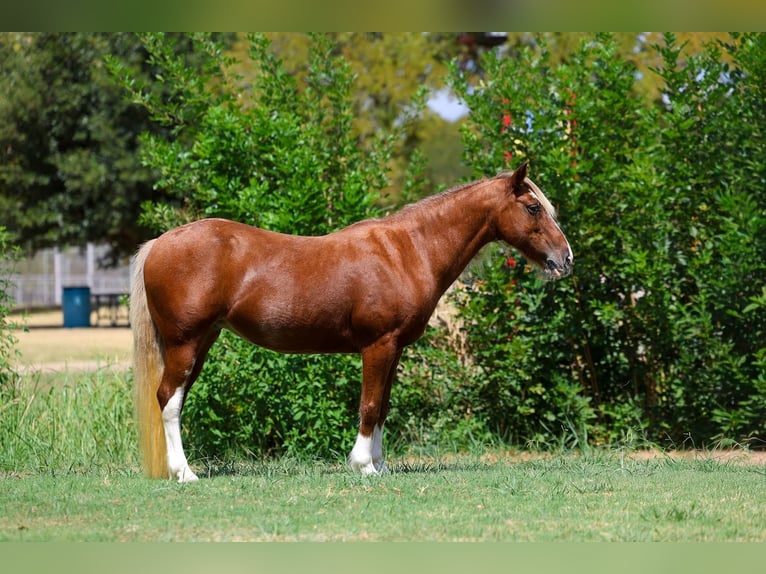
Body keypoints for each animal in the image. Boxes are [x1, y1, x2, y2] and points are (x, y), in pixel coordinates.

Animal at [130, 162, 573, 482]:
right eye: (533, 207)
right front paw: (363, 465)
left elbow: (384, 407)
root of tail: (160, 243)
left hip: (201, 342)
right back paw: (184, 473)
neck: (407, 250)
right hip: (185, 342)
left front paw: (379, 465)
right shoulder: (378, 345)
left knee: (175, 398)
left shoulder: (394, 350)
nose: (565, 259)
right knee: (169, 399)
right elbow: (370, 404)